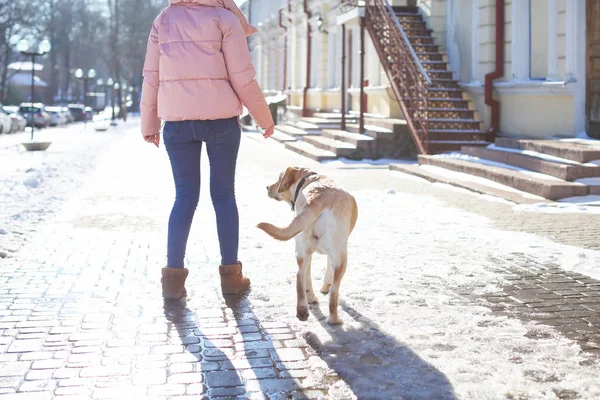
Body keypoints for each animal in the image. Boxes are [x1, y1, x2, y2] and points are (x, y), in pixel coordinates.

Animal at [256, 166, 356, 324]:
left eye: (279, 179)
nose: (267, 187)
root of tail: (317, 197)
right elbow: (328, 269)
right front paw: (325, 287)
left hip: (303, 247)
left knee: (301, 275)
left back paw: (304, 309)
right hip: (341, 255)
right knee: (333, 291)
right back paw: (334, 319)